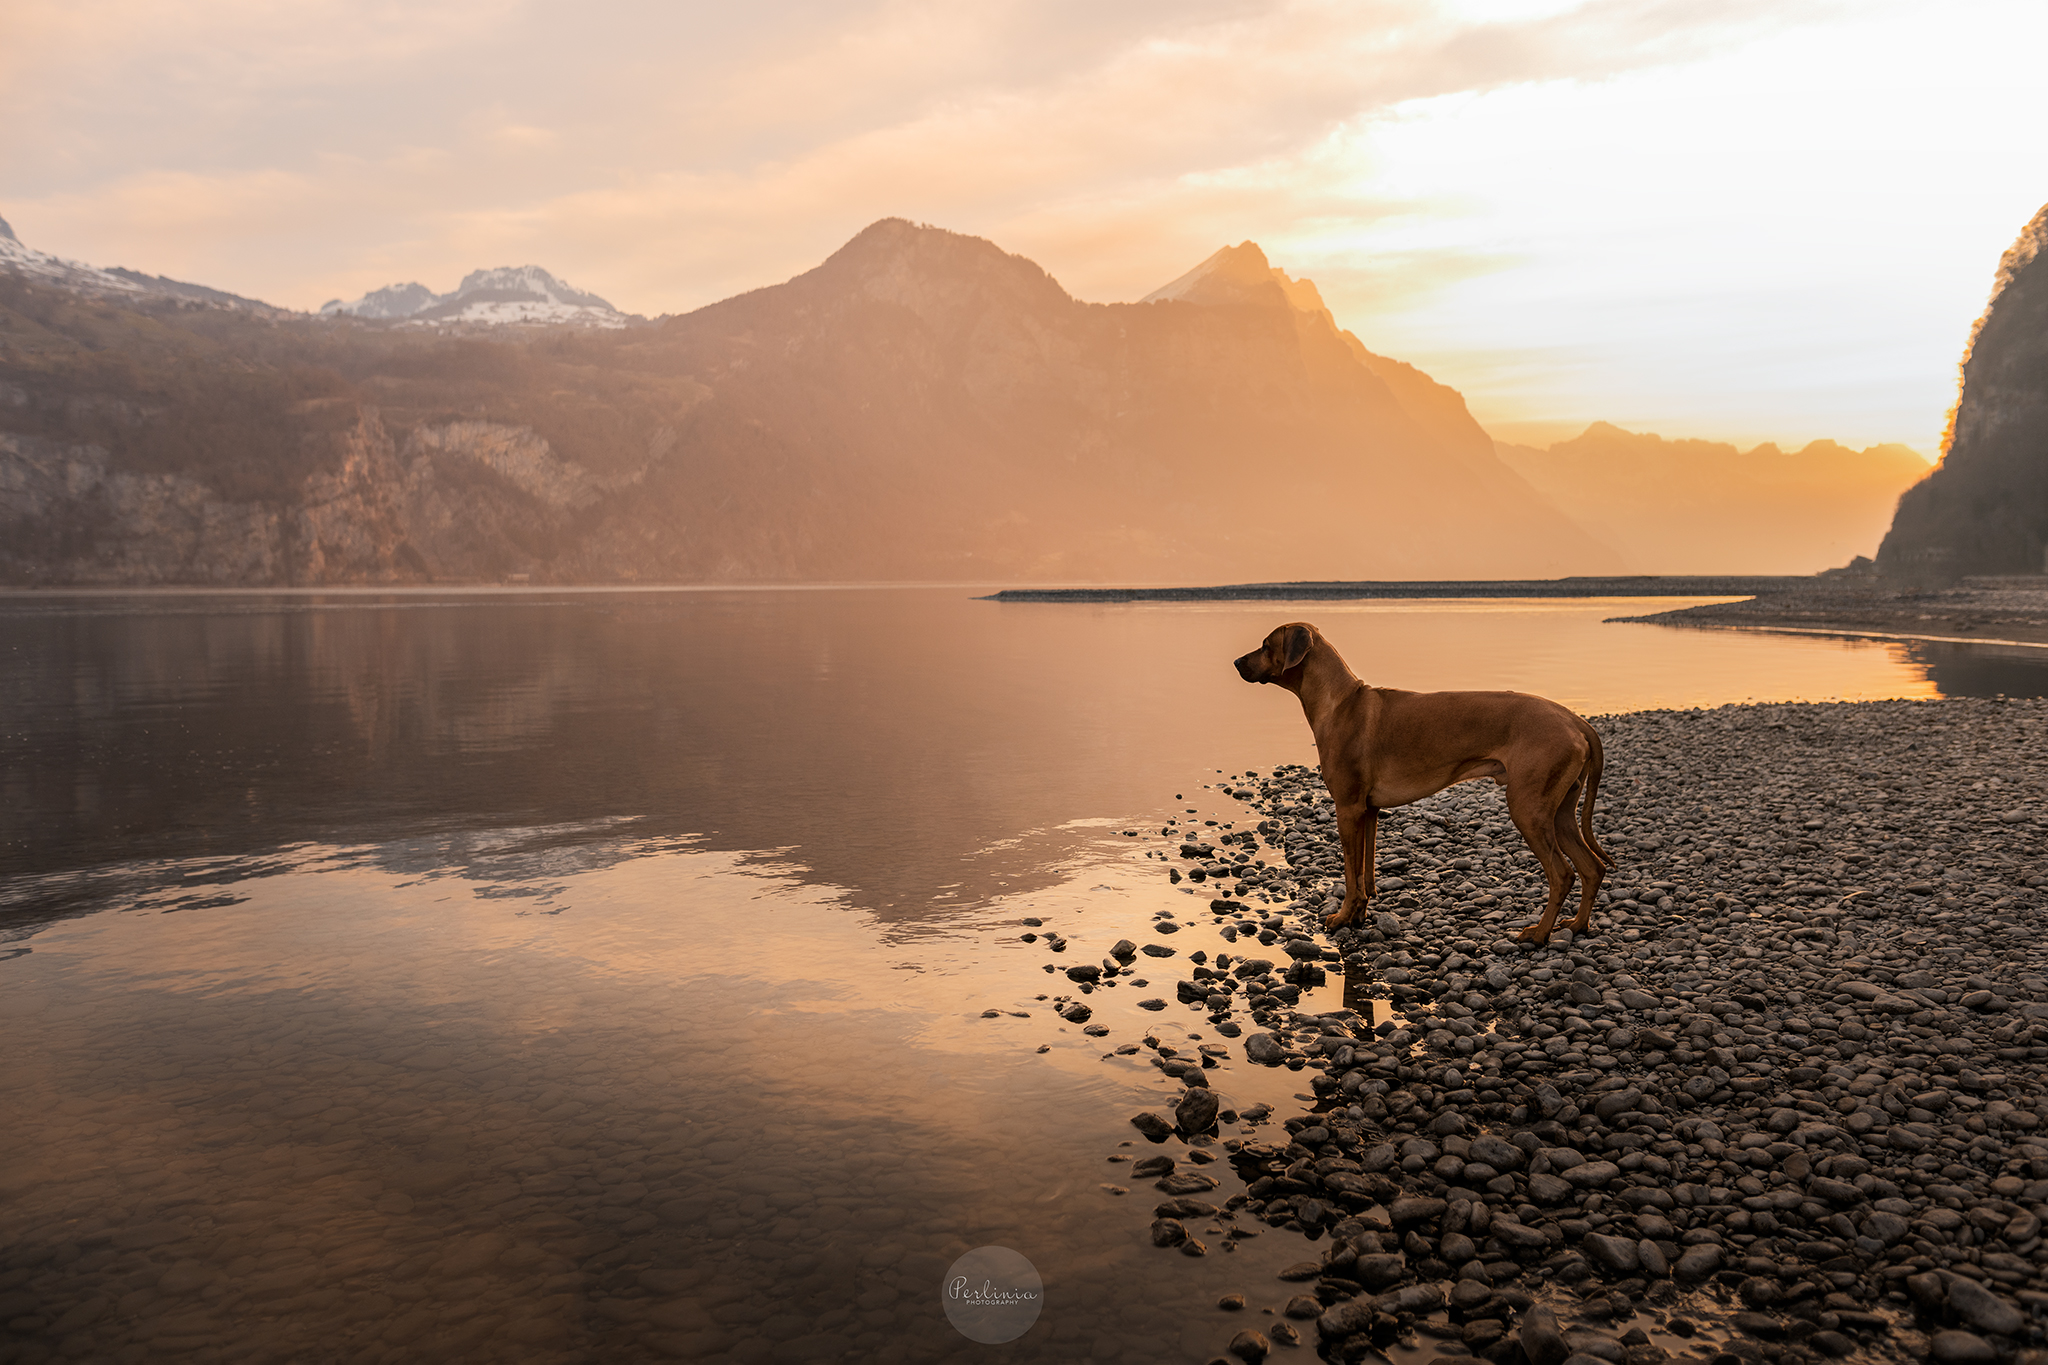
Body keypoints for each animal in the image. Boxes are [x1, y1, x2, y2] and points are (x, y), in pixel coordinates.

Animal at [1228, 626, 1613, 945]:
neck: (1338, 702)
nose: (1235, 662)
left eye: (1265, 645)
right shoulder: (1369, 810)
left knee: (1562, 874)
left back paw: (1540, 934)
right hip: (1560, 812)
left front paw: (1341, 917)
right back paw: (1578, 925)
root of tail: (1574, 719)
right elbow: (1366, 874)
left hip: (1528, 808)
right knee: (1592, 868)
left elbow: (1351, 875)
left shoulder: (1347, 808)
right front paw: (1359, 916)